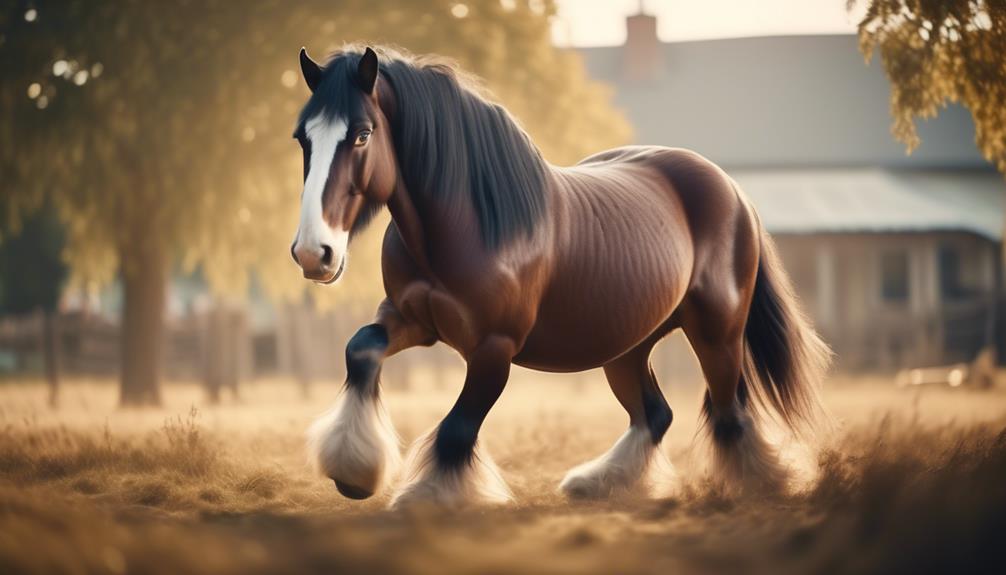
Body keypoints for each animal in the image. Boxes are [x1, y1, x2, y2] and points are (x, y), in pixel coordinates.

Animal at [291, 45, 832, 506]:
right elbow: (360, 350)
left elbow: (457, 428)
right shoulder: (413, 320)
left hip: (717, 335)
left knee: (729, 416)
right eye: (303, 138)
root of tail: (732, 189)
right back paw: (601, 483)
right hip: (626, 346)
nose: (313, 254)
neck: (469, 223)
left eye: (362, 134)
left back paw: (762, 484)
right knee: (655, 415)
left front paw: (428, 497)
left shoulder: (494, 347)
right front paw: (353, 472)